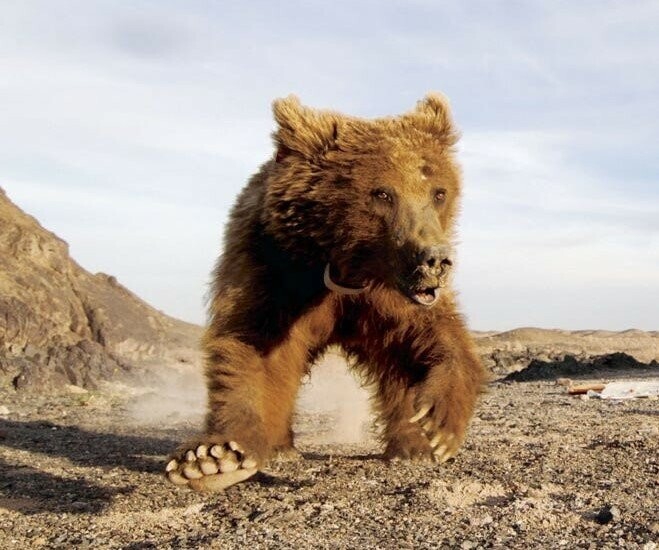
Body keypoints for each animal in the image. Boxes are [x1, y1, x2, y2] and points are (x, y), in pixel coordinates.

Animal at [166, 94, 484, 492]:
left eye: (438, 192)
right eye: (382, 192)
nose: (436, 259)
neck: (347, 266)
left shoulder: (391, 297)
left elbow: (430, 338)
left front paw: (438, 425)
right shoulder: (275, 270)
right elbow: (251, 347)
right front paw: (214, 459)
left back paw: (412, 448)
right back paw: (281, 447)